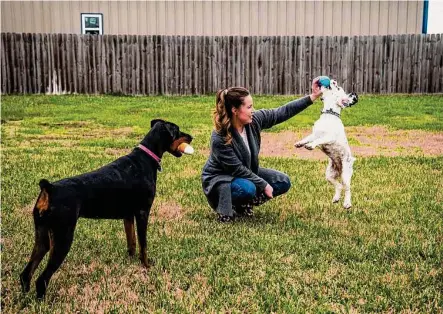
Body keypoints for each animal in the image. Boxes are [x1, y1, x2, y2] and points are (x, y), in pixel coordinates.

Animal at [19, 119, 193, 298]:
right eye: (177, 131)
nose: (191, 137)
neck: (146, 158)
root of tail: (50, 189)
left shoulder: (128, 216)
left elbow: (132, 242)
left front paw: (130, 261)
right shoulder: (142, 213)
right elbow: (143, 245)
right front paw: (146, 266)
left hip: (42, 236)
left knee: (26, 273)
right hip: (63, 238)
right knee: (42, 279)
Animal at [296, 79, 360, 209]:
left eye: (339, 88)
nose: (333, 81)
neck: (329, 114)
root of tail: (340, 168)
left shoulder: (328, 137)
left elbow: (318, 141)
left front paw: (310, 146)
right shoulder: (314, 134)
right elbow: (307, 138)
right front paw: (300, 143)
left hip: (345, 175)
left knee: (347, 188)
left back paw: (347, 203)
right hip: (329, 175)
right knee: (338, 186)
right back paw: (336, 198)